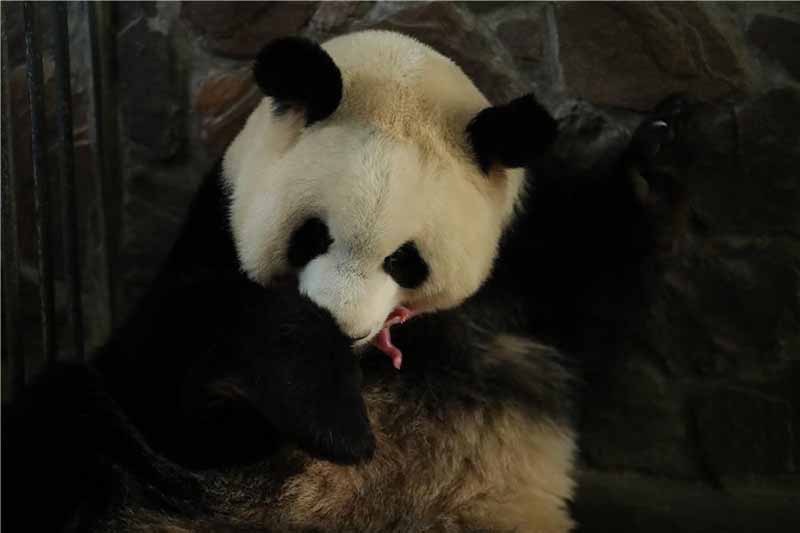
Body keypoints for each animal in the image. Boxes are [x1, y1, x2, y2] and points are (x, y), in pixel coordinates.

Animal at [2, 30, 682, 532]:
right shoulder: (212, 234)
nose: (344, 325)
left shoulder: (517, 266)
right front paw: (335, 417)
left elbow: (589, 275)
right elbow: (168, 366)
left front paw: (658, 145)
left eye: (405, 261)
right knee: (64, 430)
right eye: (313, 235)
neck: (374, 362)